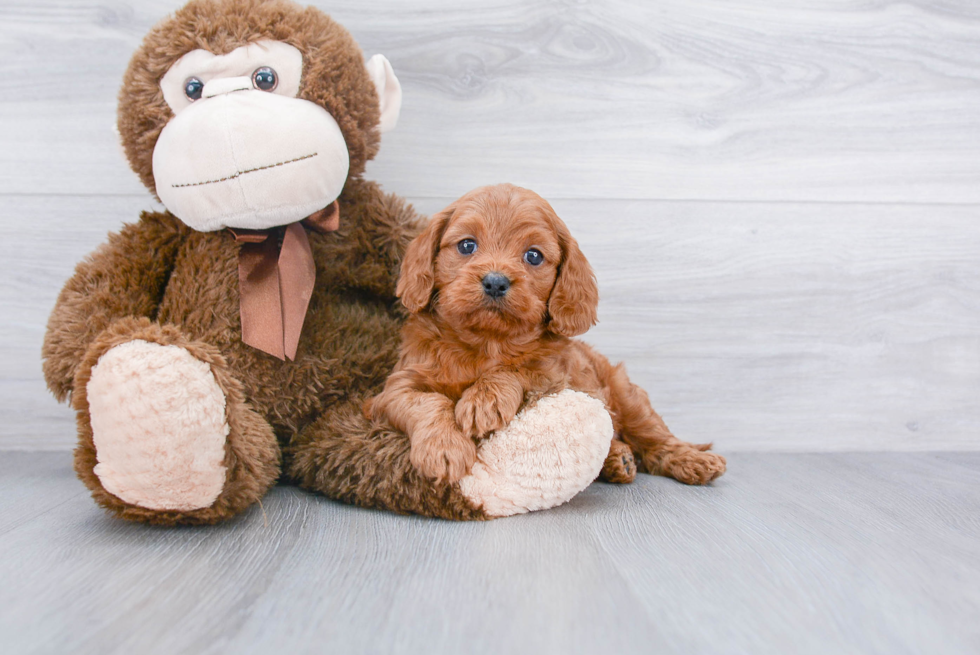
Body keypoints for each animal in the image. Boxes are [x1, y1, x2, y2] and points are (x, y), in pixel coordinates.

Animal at [364, 184, 724, 486]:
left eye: (533, 255)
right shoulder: (394, 390)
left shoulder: (558, 377)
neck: (486, 342)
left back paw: (694, 461)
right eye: (467, 245)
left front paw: (484, 399)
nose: (495, 281)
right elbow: (427, 401)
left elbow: (521, 368)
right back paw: (618, 459)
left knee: (656, 438)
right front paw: (444, 448)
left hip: (628, 396)